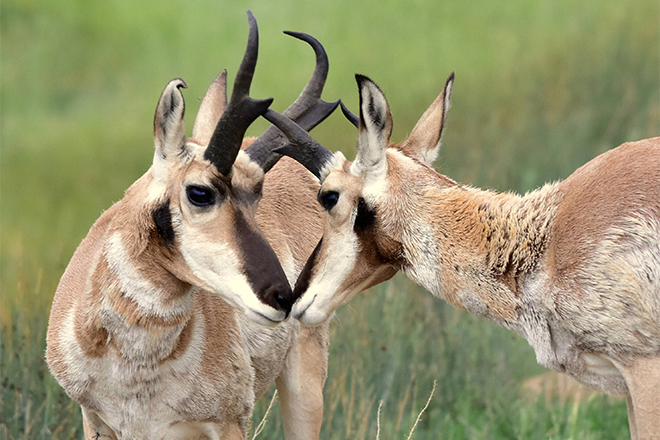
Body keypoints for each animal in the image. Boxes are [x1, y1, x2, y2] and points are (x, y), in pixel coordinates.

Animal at [47, 12, 336, 438]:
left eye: (257, 191)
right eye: (199, 192)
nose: (284, 297)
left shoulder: (227, 423)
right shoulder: (95, 420)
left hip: (305, 384)